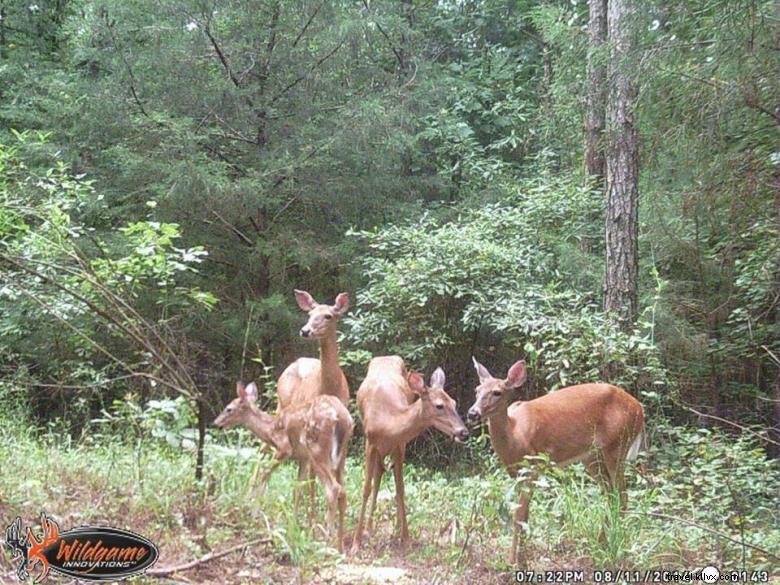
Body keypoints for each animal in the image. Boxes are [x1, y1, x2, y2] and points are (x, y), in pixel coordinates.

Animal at [213, 380, 354, 548]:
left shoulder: (284, 448)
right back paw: (340, 540)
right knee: (343, 490)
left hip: (316, 449)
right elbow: (297, 487)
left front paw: (254, 512)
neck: (270, 429)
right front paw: (293, 523)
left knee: (333, 488)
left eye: (229, 409)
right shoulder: (304, 458)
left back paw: (327, 535)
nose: (216, 423)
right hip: (341, 455)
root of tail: (340, 417)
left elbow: (265, 473)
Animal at [352, 356, 470, 552]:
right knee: (377, 477)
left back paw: (393, 528)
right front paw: (356, 543)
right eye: (439, 405)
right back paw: (368, 529)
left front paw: (406, 539)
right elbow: (366, 489)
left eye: (454, 402)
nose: (463, 432)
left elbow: (400, 488)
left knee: (383, 475)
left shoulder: (400, 444)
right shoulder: (370, 443)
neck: (387, 422)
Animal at [466, 358, 644, 564]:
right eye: (477, 390)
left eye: (497, 392)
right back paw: (601, 543)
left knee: (622, 495)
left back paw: (613, 545)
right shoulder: (516, 474)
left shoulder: (533, 466)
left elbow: (519, 516)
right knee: (611, 495)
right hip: (591, 457)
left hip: (617, 444)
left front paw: (515, 562)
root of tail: (640, 409)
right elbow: (522, 514)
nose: (472, 413)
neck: (515, 435)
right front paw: (519, 559)